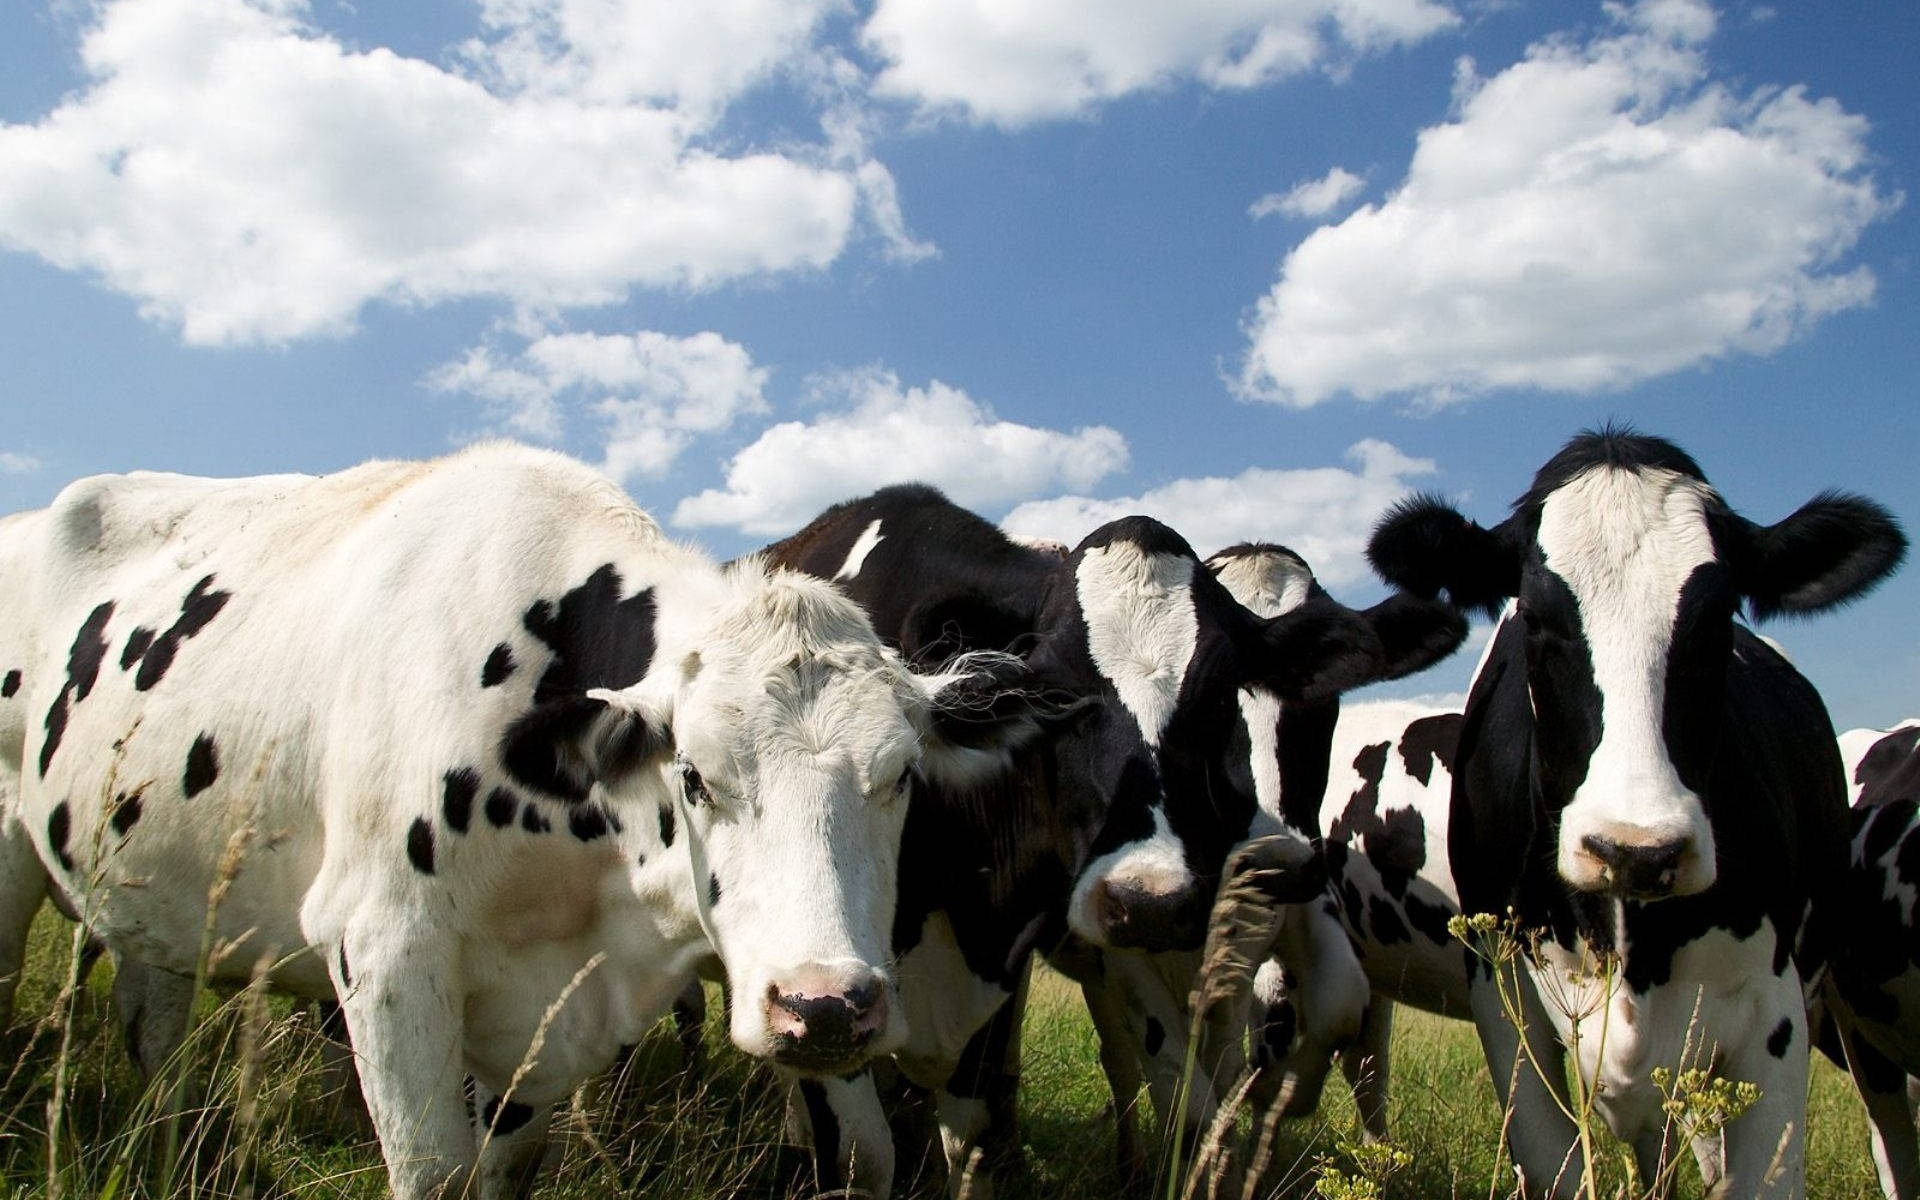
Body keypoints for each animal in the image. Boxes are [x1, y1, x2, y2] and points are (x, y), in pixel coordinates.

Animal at [0, 445, 1052, 1190]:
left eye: (902, 776)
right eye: (695, 776)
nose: (825, 1006)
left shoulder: (544, 1017)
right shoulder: (383, 951)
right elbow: (436, 1174)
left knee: (152, 1024)